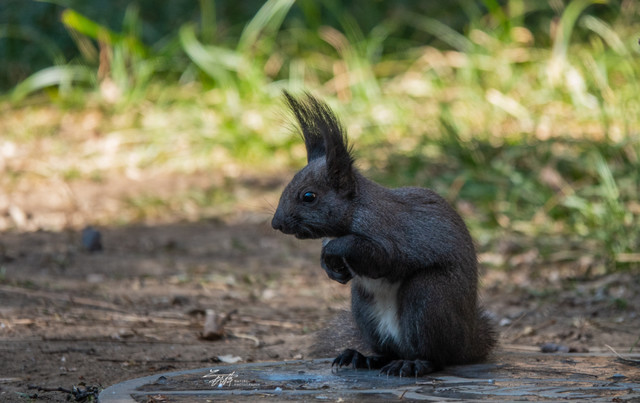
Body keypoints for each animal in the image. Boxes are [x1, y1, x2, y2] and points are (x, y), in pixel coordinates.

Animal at [270, 93, 496, 378]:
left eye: (309, 196)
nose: (276, 223)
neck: (353, 214)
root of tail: (469, 343)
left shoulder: (388, 235)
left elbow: (380, 258)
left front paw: (333, 251)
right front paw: (331, 268)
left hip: (429, 297)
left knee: (437, 356)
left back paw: (414, 364)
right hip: (363, 308)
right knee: (388, 350)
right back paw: (363, 357)